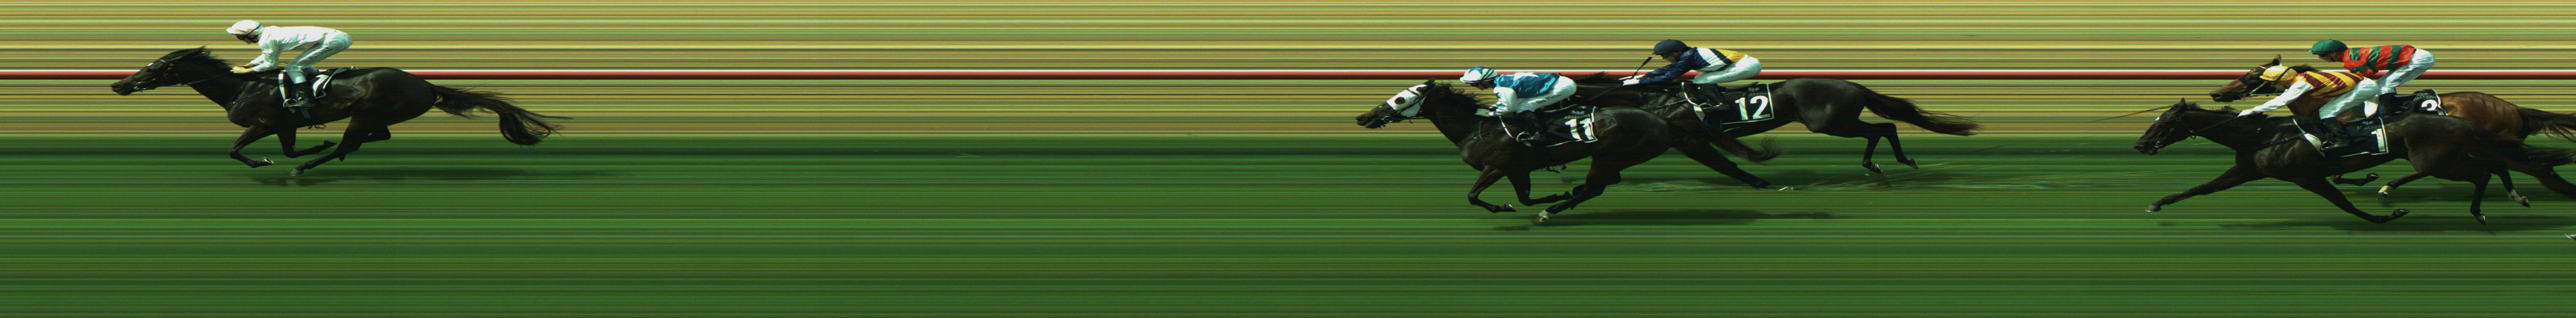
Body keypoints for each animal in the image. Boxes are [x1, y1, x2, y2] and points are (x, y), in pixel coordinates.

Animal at [108, 47, 565, 176]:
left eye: (155, 68)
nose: (119, 85)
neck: (241, 87)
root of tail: (427, 84)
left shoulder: (262, 123)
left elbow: (236, 150)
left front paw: (265, 161)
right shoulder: (284, 125)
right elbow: (290, 146)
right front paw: (310, 145)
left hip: (369, 111)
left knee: (355, 141)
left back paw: (311, 166)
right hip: (376, 116)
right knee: (374, 137)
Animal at [1356, 79, 1683, 222]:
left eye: (1399, 100)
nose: (1363, 117)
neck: (1475, 129)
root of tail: (1662, 121)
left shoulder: (1497, 167)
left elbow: (1473, 196)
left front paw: (1505, 207)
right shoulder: (1517, 169)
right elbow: (1524, 198)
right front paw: (1553, 195)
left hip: (1610, 154)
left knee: (1596, 186)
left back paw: (1552, 211)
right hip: (1614, 158)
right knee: (1601, 184)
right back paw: (1565, 198)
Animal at [2132, 99, 2576, 224]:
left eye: (2163, 124)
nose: (2140, 146)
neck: (2265, 136)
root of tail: (2460, 119)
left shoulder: (2307, 178)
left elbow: (2344, 204)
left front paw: (2386, 215)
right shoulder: (2247, 170)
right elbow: (2200, 188)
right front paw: (2157, 203)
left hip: (2438, 160)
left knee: (2483, 171)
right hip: (2453, 156)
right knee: (2495, 167)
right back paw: (2510, 200)